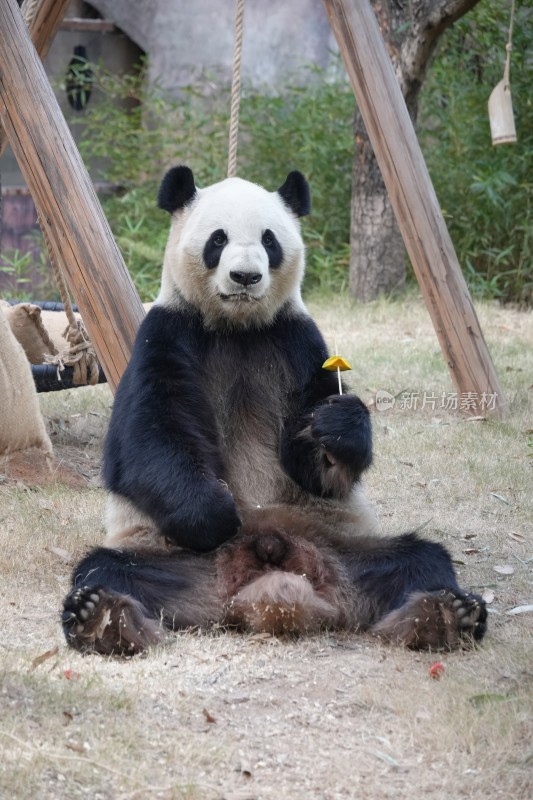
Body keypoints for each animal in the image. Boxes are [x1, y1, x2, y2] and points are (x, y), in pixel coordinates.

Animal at [61, 166, 486, 652]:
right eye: (218, 240)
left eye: (269, 240)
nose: (246, 277)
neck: (239, 328)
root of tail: (262, 594)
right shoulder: (167, 332)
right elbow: (146, 438)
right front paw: (217, 514)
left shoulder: (295, 340)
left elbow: (313, 459)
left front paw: (336, 427)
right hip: (170, 556)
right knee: (108, 569)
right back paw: (101, 618)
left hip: (340, 545)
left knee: (421, 559)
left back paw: (446, 615)